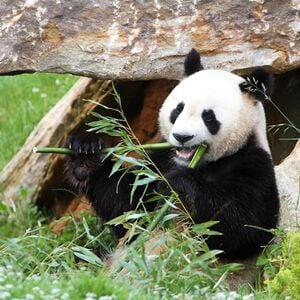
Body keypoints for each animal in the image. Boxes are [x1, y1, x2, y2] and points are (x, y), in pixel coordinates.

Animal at [65, 48, 278, 258]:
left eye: (208, 117)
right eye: (178, 110)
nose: (182, 136)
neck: (202, 163)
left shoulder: (253, 163)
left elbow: (244, 227)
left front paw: (181, 181)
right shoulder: (161, 161)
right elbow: (129, 208)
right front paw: (85, 153)